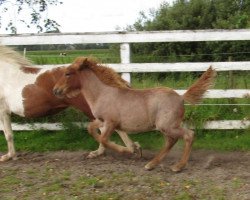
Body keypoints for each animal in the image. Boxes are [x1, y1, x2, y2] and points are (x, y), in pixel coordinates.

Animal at [53, 57, 217, 171]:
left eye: (68, 73)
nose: (55, 90)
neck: (102, 93)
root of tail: (181, 97)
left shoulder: (111, 122)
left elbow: (105, 139)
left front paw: (130, 149)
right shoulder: (102, 120)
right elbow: (91, 130)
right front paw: (133, 149)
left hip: (168, 126)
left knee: (188, 135)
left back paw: (178, 166)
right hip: (166, 127)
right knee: (171, 141)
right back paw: (151, 164)